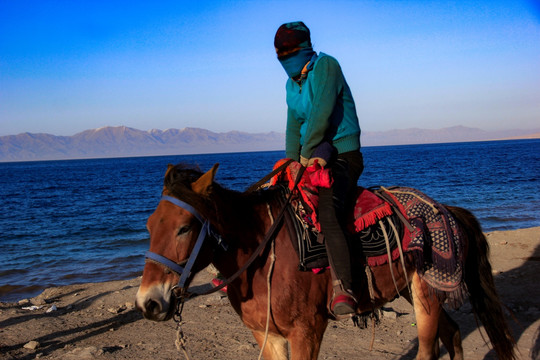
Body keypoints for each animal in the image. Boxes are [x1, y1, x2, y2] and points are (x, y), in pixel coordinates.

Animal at [135, 164, 516, 360]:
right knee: (452, 334)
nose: (148, 303)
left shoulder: (307, 331)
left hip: (427, 296)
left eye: (185, 227)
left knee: (428, 348)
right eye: (149, 226)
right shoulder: (265, 335)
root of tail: (447, 210)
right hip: (414, 289)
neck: (261, 253)